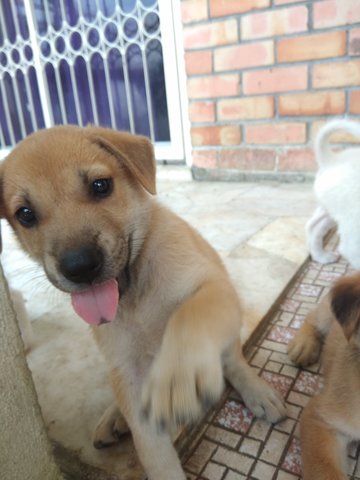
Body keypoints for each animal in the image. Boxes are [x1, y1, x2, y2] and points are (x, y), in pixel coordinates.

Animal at [0, 126, 286, 480]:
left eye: (101, 186)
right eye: (25, 214)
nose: (80, 267)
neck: (136, 293)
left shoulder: (215, 287)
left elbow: (188, 317)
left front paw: (178, 378)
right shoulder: (125, 365)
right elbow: (152, 449)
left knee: (232, 360)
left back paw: (257, 391)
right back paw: (114, 418)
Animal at [306, 119, 360, 270]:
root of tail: (331, 160)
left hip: (331, 209)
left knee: (313, 226)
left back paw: (321, 257)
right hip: (353, 216)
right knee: (349, 249)